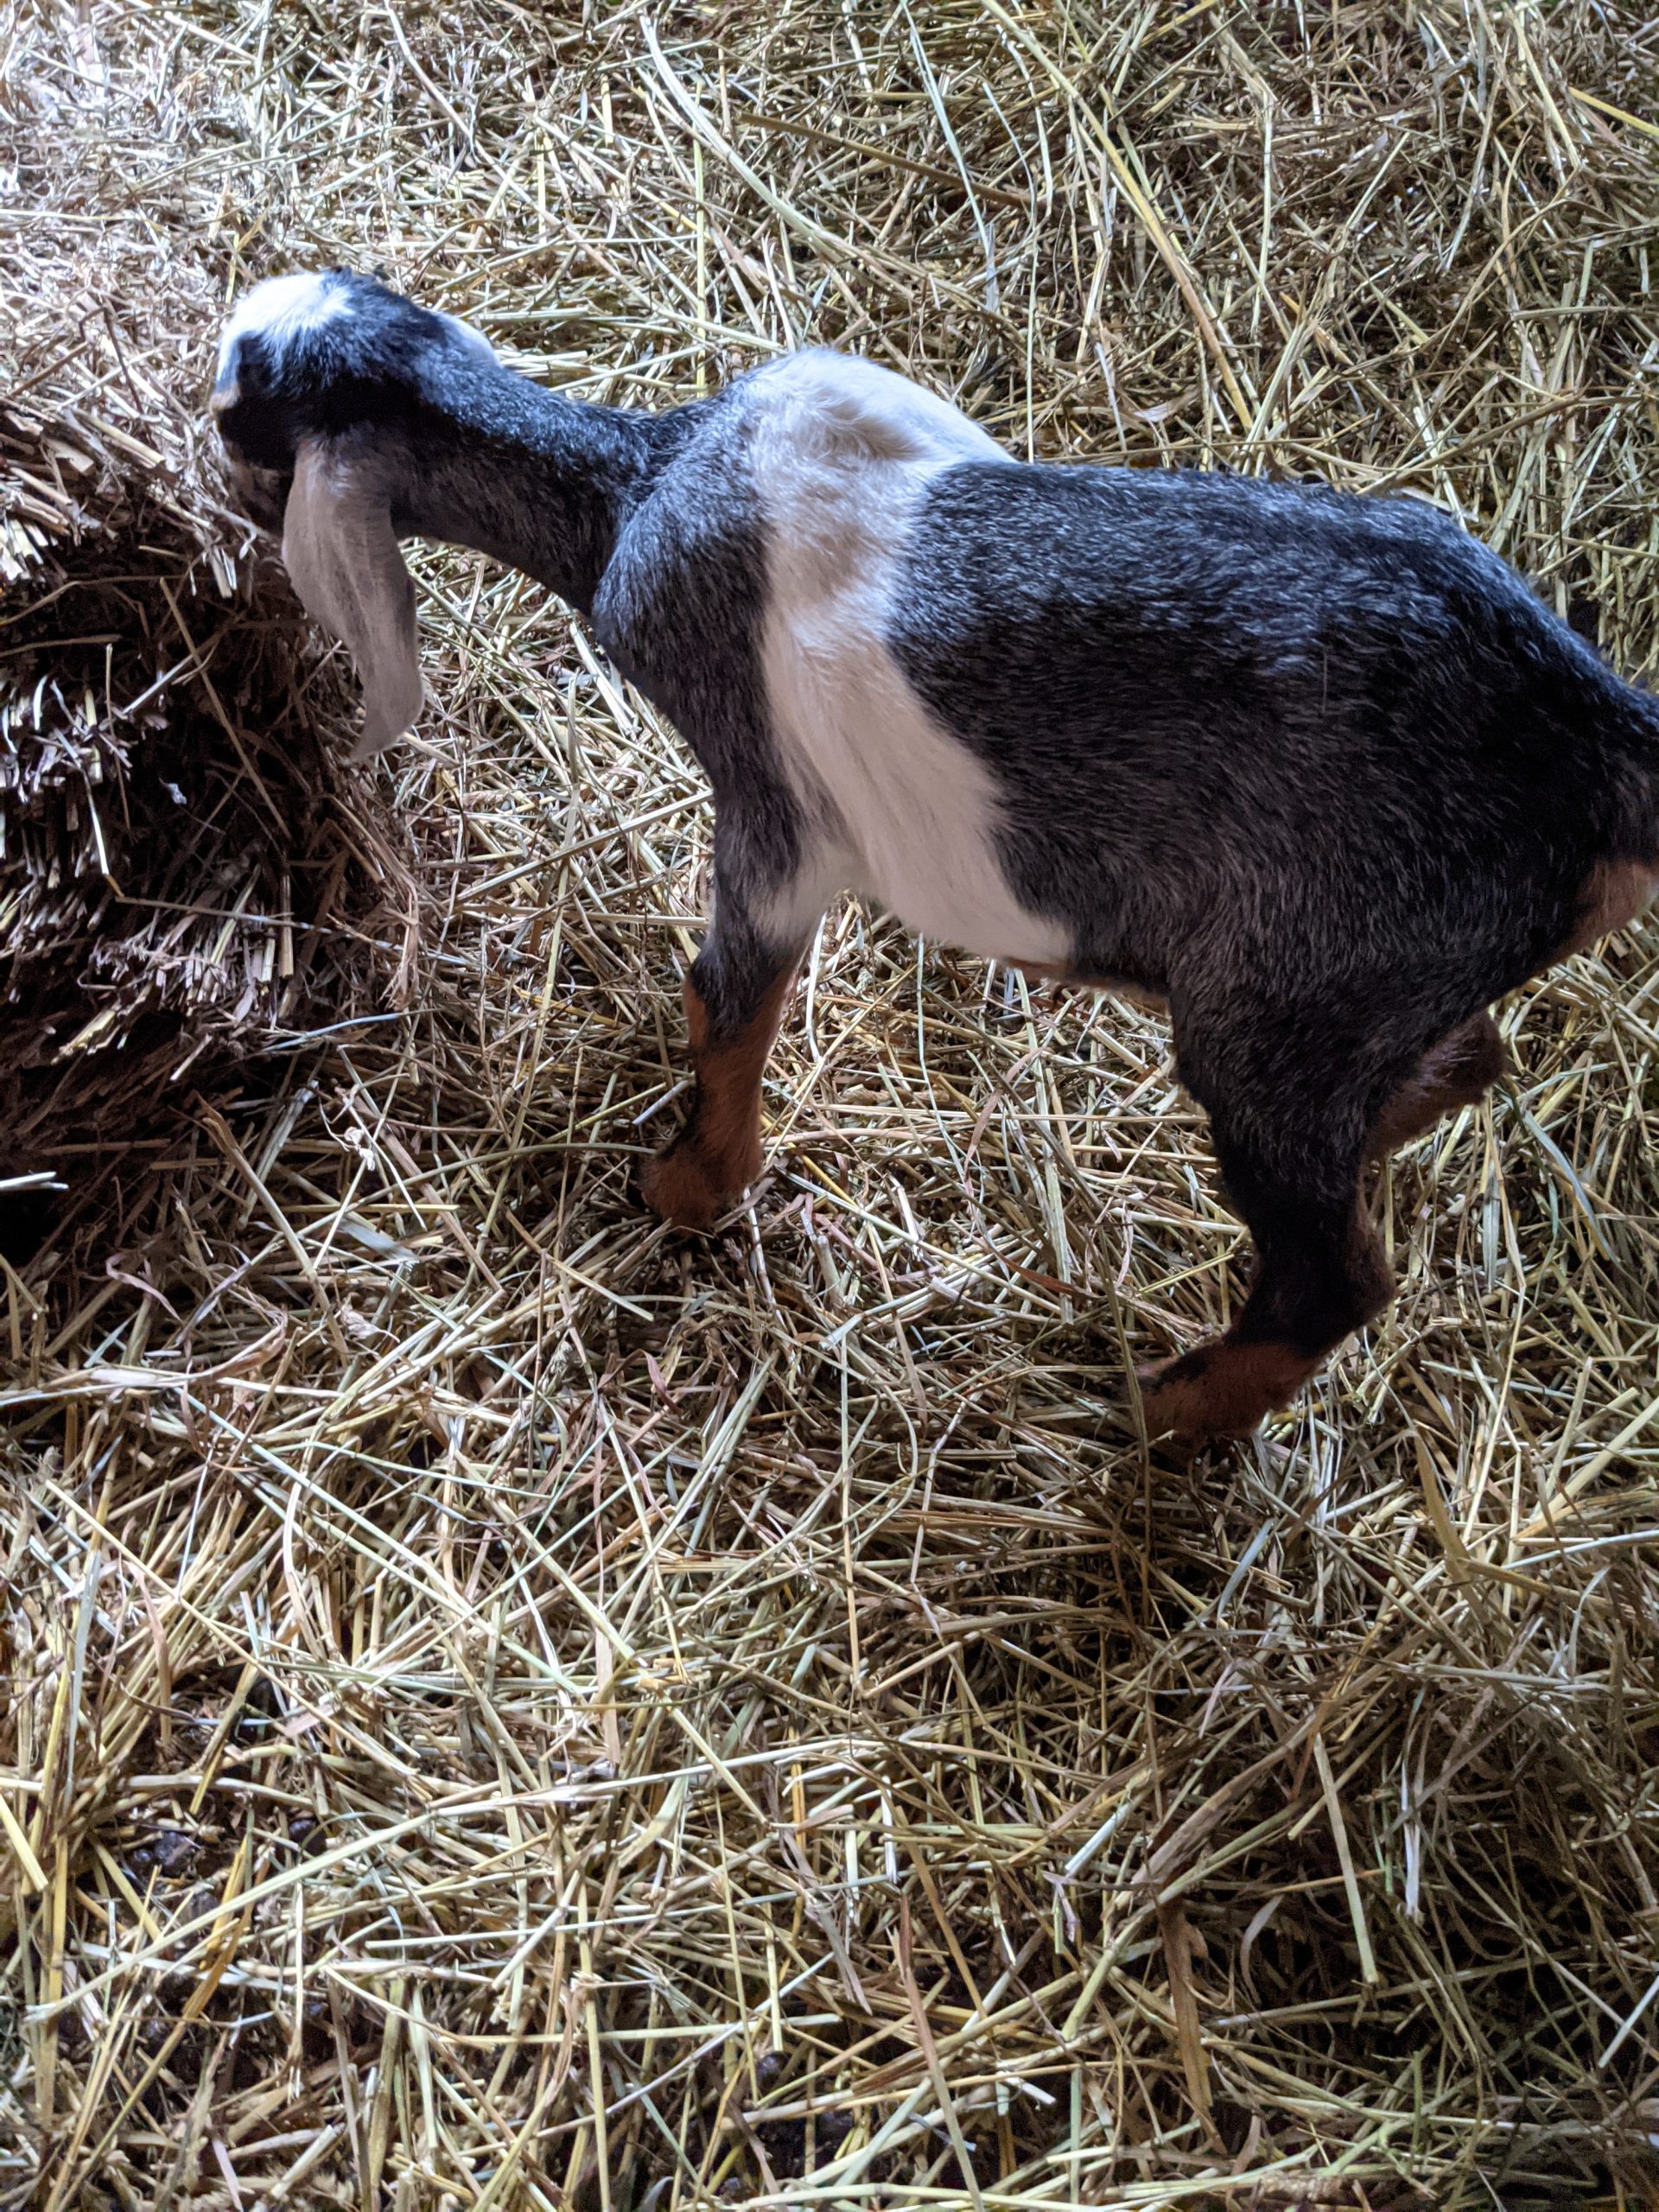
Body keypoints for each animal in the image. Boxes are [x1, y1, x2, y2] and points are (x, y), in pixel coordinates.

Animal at [214, 267, 1654, 1442]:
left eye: (241, 414)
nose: (211, 456)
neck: (640, 485)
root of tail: (1592, 746)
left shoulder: (773, 810)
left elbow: (731, 995)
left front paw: (689, 1185)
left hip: (1284, 1013)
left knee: (1332, 1276)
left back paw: (1169, 1411)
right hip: (1366, 996)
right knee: (1469, 1060)